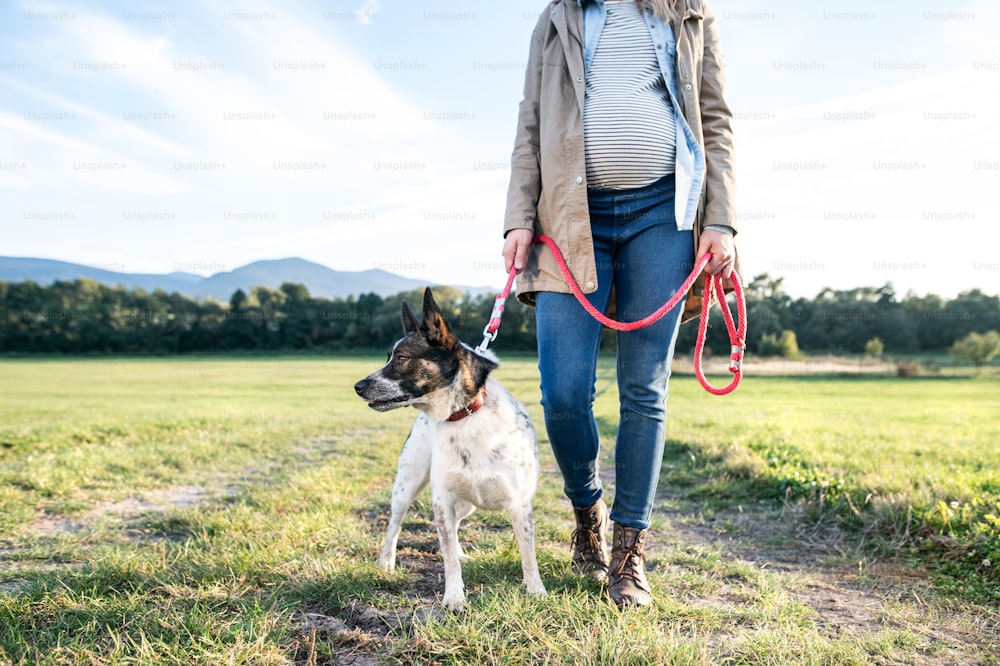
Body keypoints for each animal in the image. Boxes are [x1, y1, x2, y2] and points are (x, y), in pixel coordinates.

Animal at [356, 288, 548, 608]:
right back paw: (386, 562)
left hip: (465, 502)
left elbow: (528, 555)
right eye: (388, 357)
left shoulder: (520, 505)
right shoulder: (441, 499)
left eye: (402, 358)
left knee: (456, 525)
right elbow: (447, 558)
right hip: (406, 487)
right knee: (394, 526)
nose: (358, 386)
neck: (465, 414)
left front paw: (536, 591)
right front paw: (454, 597)